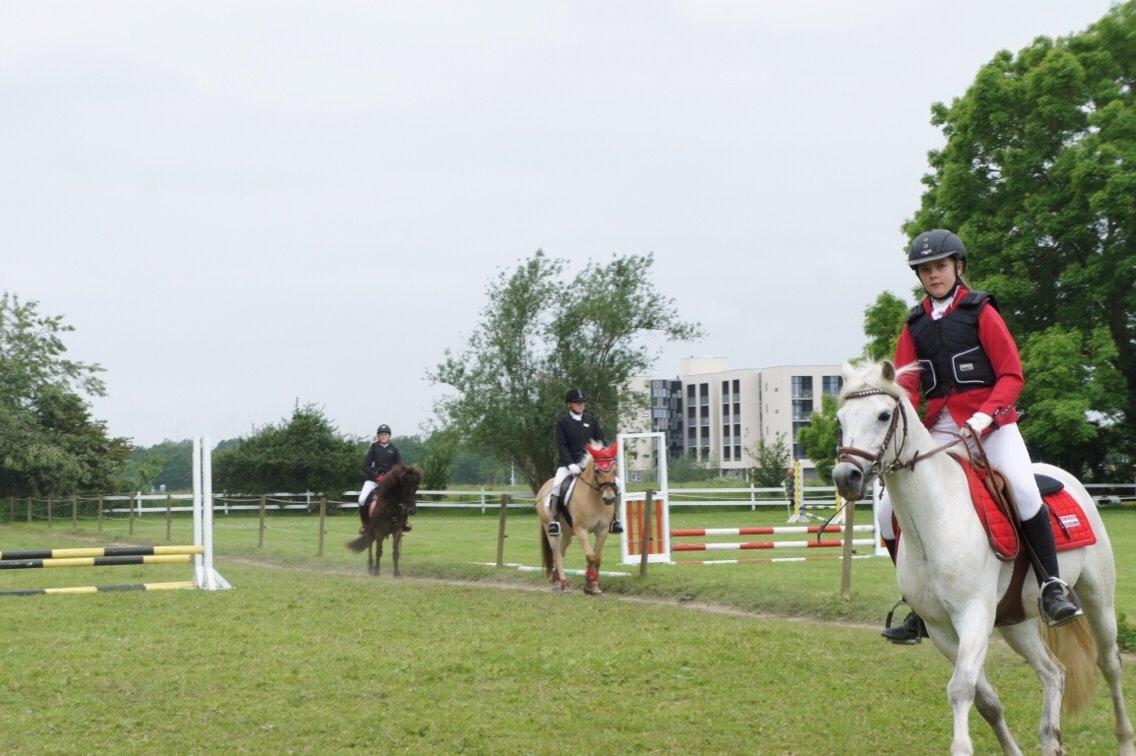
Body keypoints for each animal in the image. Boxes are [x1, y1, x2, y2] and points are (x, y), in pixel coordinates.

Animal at [536, 441, 619, 594]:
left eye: (614, 469)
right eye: (597, 471)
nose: (609, 498)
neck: (594, 498)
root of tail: (544, 487)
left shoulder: (602, 530)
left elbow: (597, 558)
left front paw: (593, 585)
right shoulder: (581, 530)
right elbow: (591, 556)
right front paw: (590, 580)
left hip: (568, 533)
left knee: (562, 550)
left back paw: (557, 579)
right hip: (551, 530)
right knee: (557, 553)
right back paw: (564, 584)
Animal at [831, 361, 1134, 756]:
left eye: (884, 415)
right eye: (840, 419)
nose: (845, 476)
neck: (936, 518)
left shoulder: (972, 615)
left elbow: (961, 689)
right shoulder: (942, 628)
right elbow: (985, 700)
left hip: (1097, 598)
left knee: (1109, 664)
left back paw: (1124, 740)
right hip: (1014, 620)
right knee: (1053, 671)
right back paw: (1050, 741)